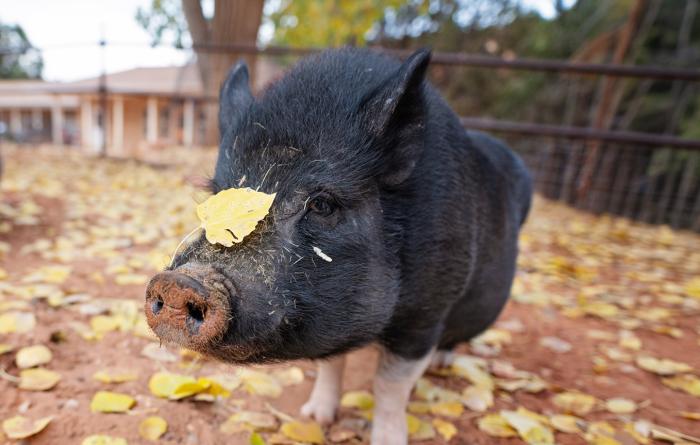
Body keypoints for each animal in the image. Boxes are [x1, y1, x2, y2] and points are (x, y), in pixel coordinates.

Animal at [145, 47, 532, 445]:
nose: (180, 283)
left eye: (322, 204)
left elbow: (391, 385)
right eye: (216, 196)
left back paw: (443, 362)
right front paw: (314, 418)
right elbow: (331, 364)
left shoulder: (425, 314)